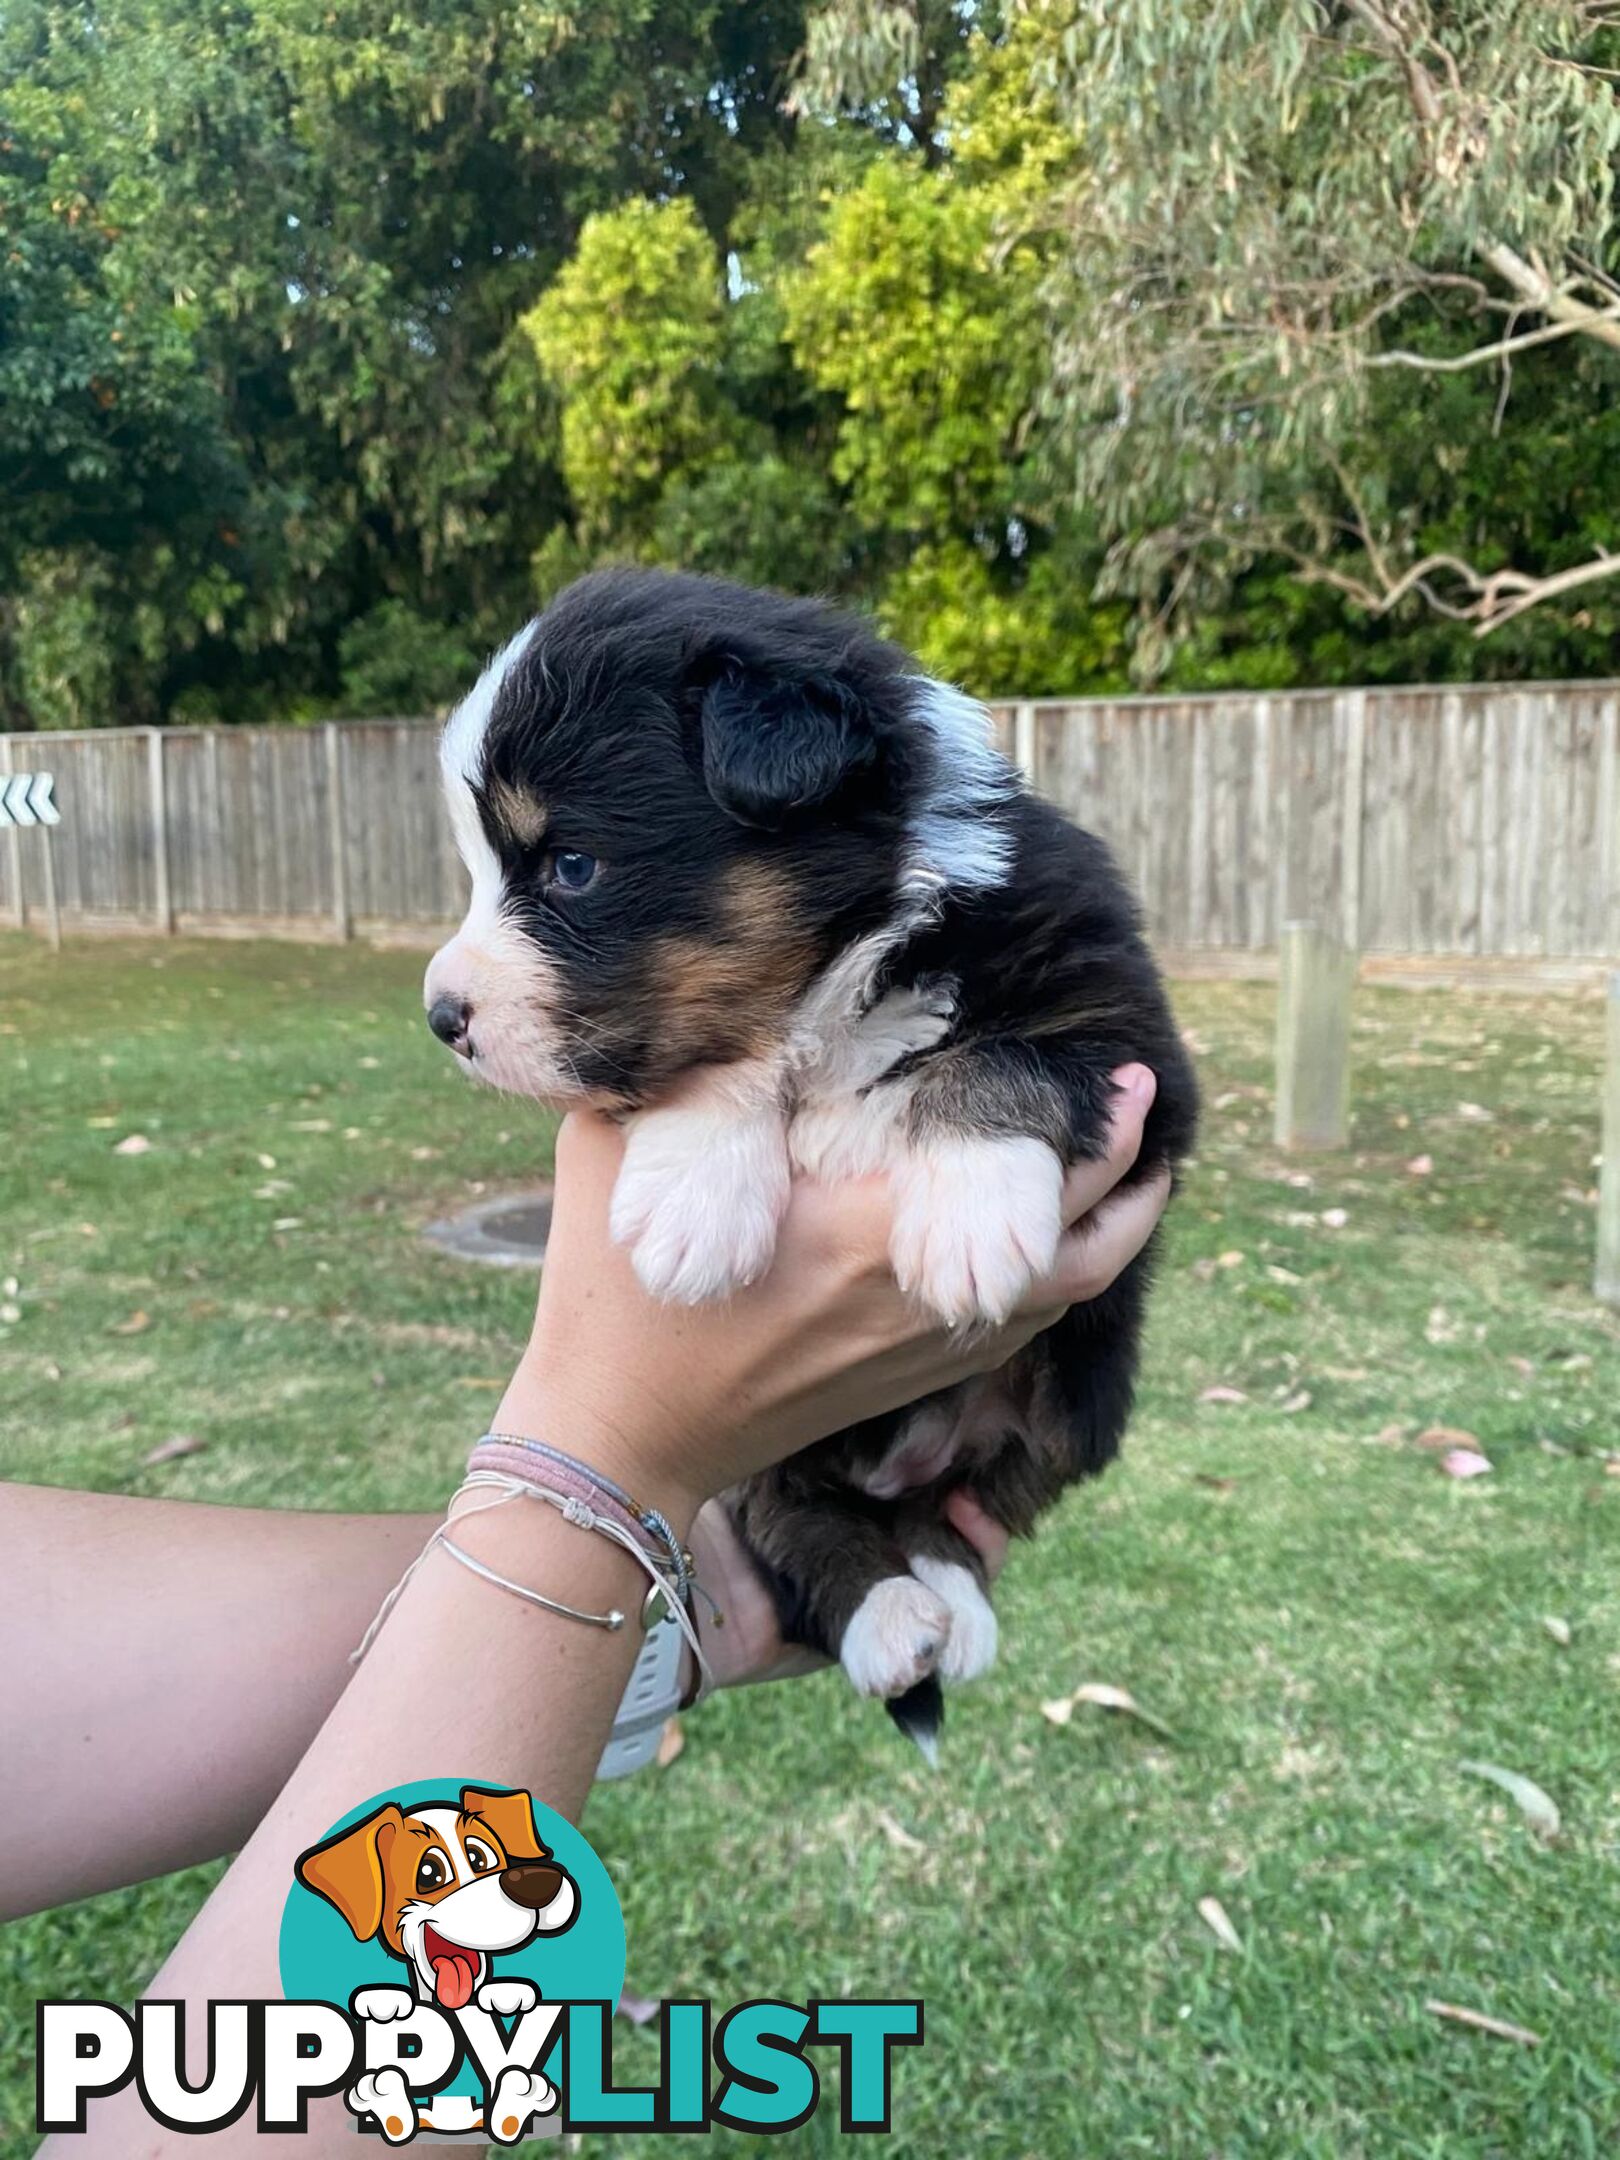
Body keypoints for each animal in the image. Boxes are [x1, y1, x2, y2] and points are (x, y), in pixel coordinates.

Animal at [425, 570, 1200, 1753]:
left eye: (572, 866)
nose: (441, 1017)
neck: (847, 969)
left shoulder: (1132, 1039)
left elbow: (1007, 1058)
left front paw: (968, 1221)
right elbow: (713, 1066)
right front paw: (694, 1208)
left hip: (1082, 1395)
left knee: (953, 1505)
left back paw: (947, 1603)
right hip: (775, 1449)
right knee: (797, 1513)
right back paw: (890, 1619)